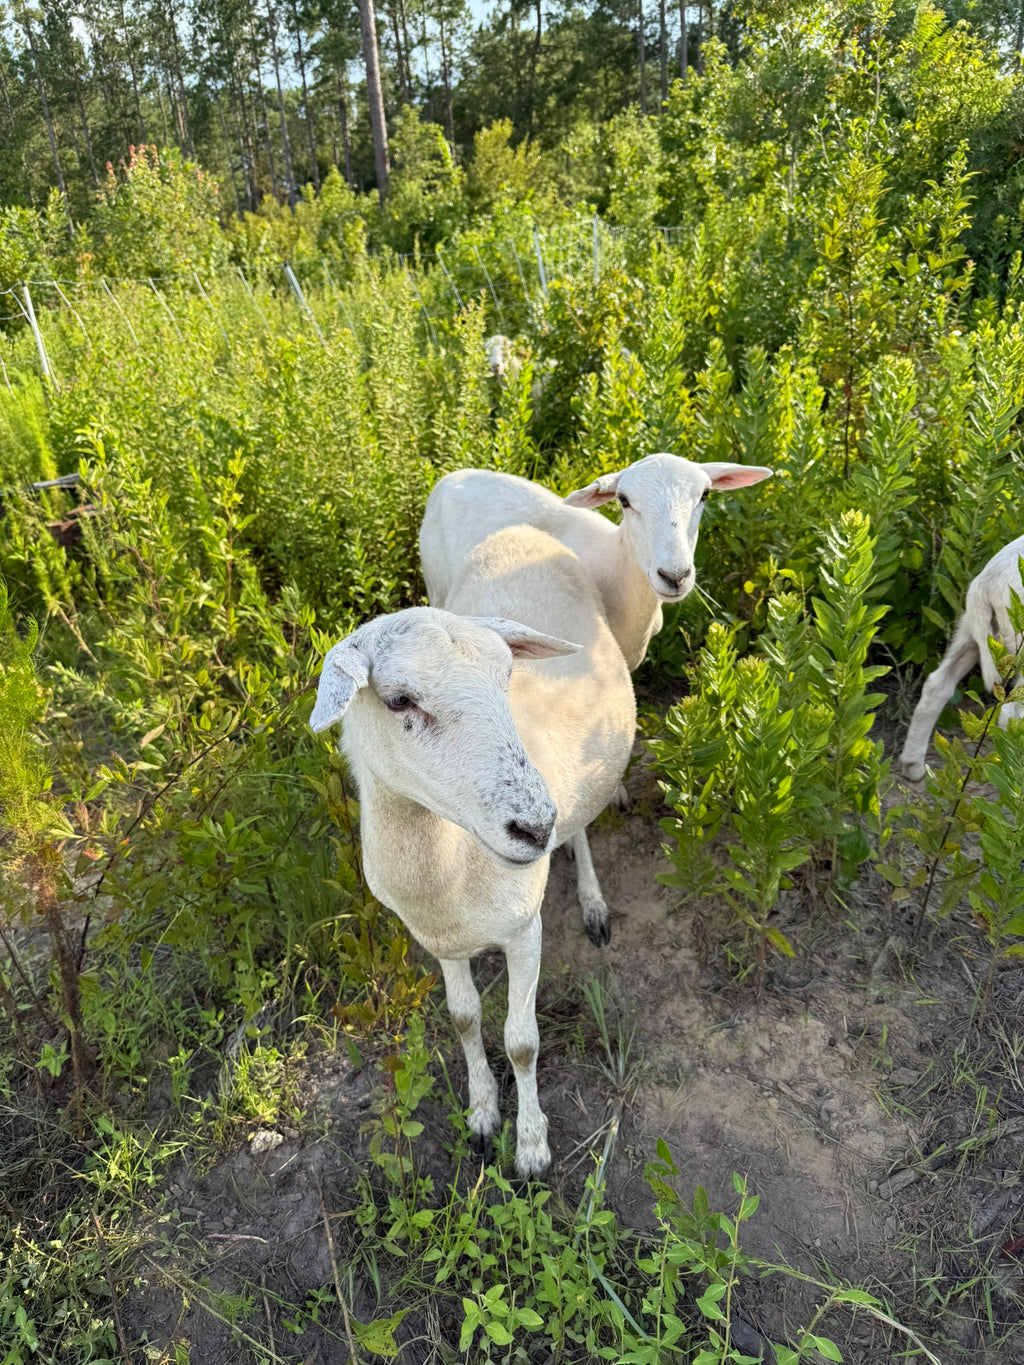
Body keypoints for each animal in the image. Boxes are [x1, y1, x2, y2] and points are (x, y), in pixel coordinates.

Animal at [310, 525, 636, 1178]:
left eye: (508, 678)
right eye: (399, 700)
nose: (533, 826)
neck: (450, 866)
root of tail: (525, 530)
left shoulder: (525, 928)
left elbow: (523, 1042)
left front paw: (531, 1148)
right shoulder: (438, 938)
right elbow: (463, 1019)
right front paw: (483, 1115)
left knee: (583, 829)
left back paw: (591, 900)